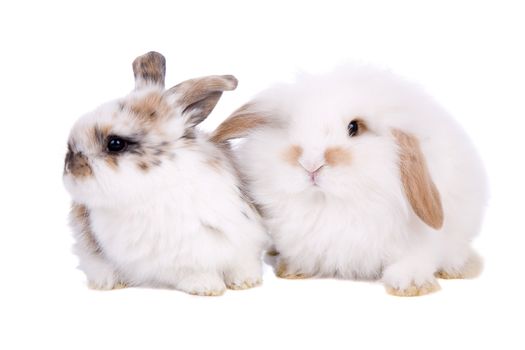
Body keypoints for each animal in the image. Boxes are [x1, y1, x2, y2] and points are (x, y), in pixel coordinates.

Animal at [62, 51, 266, 296]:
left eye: (115, 144)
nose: (70, 166)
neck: (166, 183)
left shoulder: (242, 239)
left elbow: (242, 264)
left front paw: (247, 282)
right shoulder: (170, 258)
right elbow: (192, 271)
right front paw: (207, 286)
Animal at [210, 63, 488, 296]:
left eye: (354, 127)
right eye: (288, 126)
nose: (310, 164)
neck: (333, 204)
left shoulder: (420, 244)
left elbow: (414, 261)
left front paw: (410, 285)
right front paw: (292, 269)